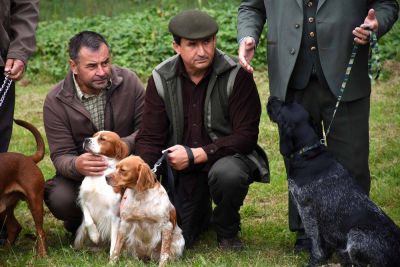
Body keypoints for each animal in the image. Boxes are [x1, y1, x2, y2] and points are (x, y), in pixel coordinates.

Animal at [0, 120, 47, 258]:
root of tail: (28, 158)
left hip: (35, 202)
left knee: (40, 231)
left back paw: (42, 255)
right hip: (5, 208)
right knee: (14, 227)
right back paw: (6, 250)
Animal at [268, 97, 400, 267]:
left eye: (283, 106)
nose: (271, 98)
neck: (309, 153)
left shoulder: (306, 208)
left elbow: (315, 240)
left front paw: (315, 261)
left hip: (356, 236)